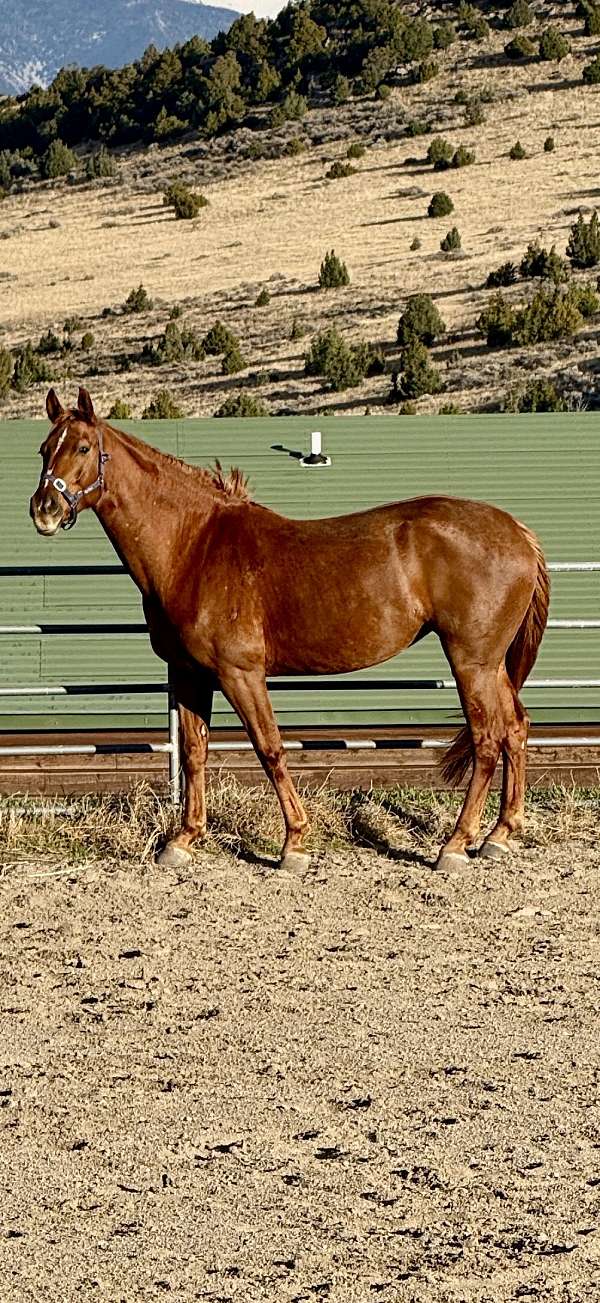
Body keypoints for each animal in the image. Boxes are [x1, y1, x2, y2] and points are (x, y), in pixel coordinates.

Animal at [30, 387, 549, 873]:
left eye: (81, 447)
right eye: (44, 448)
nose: (43, 509)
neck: (193, 545)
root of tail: (518, 533)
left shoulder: (240, 673)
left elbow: (270, 748)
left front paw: (294, 844)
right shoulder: (189, 673)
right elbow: (195, 751)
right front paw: (183, 840)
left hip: (470, 661)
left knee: (487, 738)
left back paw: (455, 845)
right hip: (492, 665)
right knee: (515, 729)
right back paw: (500, 835)